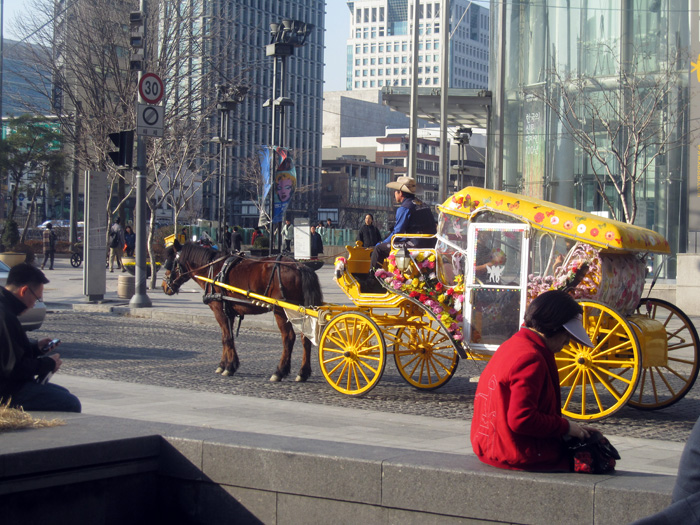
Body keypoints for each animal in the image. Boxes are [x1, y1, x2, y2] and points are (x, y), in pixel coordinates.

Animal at [161, 241, 322, 380]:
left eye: (169, 262)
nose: (164, 286)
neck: (213, 270)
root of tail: (299, 266)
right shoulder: (229, 312)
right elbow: (226, 337)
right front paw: (224, 364)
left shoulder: (219, 310)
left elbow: (227, 338)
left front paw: (229, 367)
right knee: (305, 338)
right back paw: (303, 372)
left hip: (281, 311)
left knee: (288, 338)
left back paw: (279, 371)